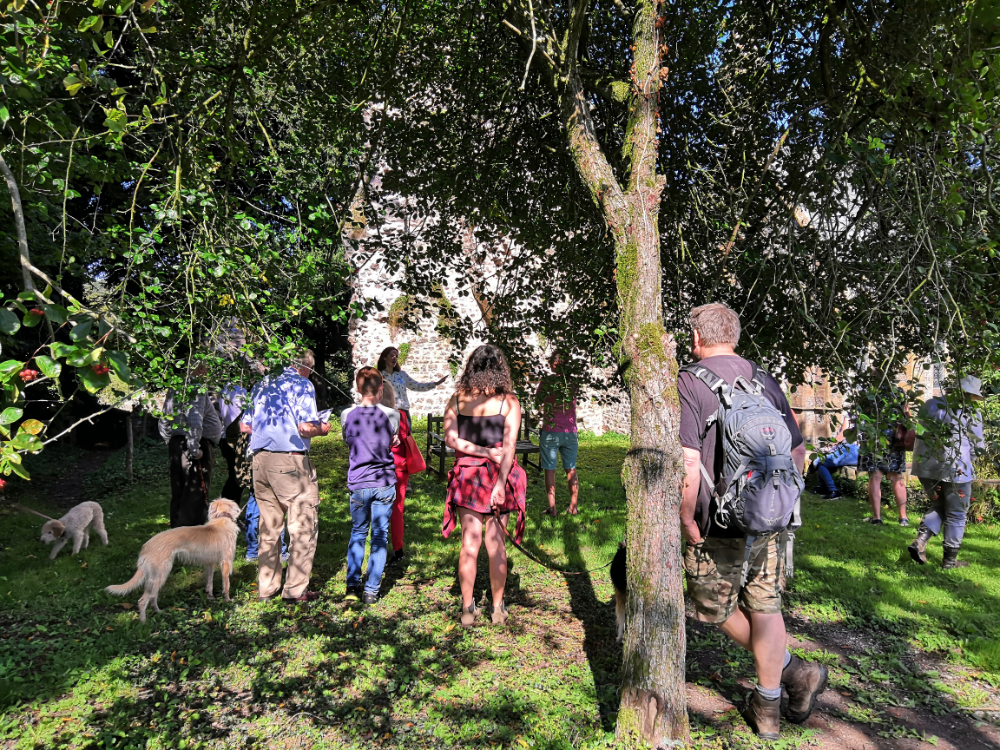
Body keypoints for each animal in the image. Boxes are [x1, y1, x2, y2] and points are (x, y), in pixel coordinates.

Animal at [106, 500, 240, 624]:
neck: (222, 518)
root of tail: (145, 547)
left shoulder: (210, 564)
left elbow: (209, 583)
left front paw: (210, 597)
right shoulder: (226, 562)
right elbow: (226, 585)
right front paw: (227, 600)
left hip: (158, 576)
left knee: (153, 597)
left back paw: (159, 612)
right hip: (161, 574)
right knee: (143, 600)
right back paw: (144, 623)